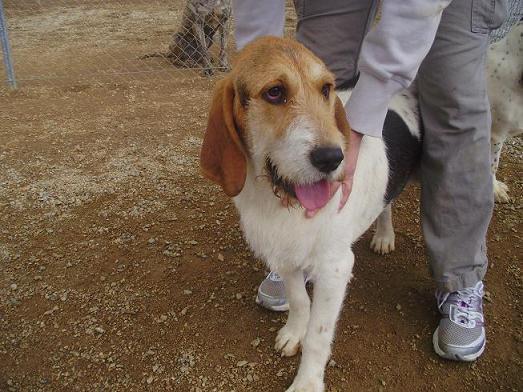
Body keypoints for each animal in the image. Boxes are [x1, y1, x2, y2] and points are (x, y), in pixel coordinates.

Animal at [200, 36, 422, 388]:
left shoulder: (335, 268)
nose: (332, 158)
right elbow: (299, 300)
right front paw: (294, 333)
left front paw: (307, 383)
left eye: (326, 89)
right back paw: (384, 234)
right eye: (274, 92)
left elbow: (319, 336)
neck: (280, 203)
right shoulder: (283, 254)